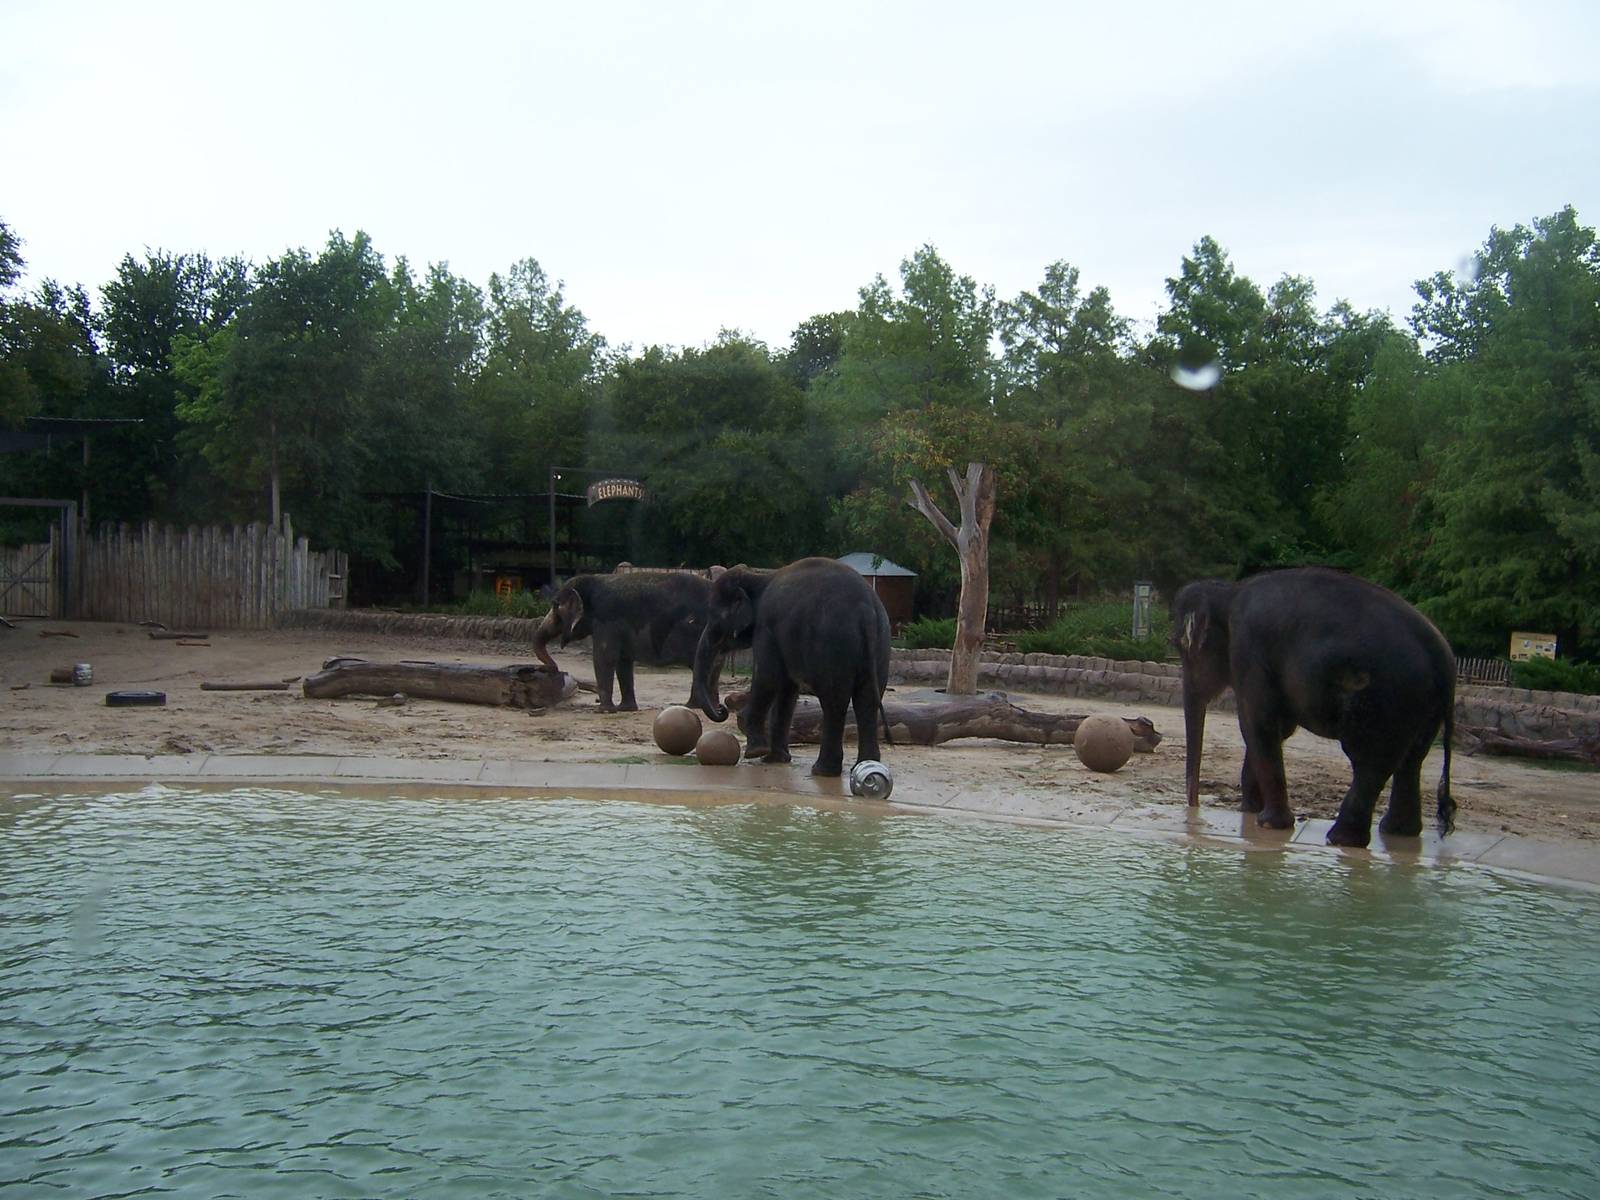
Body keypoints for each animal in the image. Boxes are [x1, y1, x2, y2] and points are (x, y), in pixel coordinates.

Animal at [532, 571, 711, 712]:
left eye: (555, 606)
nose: (549, 669)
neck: (594, 580)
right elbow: (623, 661)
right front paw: (625, 709)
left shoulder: (606, 620)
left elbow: (604, 657)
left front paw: (603, 711)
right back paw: (697, 706)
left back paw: (693, 707)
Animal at [689, 557, 891, 777]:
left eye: (714, 617)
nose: (722, 709)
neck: (759, 577)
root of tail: (866, 611)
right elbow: (787, 689)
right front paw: (774, 759)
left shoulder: (766, 627)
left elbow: (768, 677)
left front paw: (755, 752)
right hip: (879, 646)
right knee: (867, 701)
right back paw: (864, 766)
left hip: (833, 645)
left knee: (834, 702)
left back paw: (822, 771)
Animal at [1172, 567, 1456, 848]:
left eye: (1183, 648)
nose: (1193, 807)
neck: (1229, 593)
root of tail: (1442, 656)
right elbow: (1278, 728)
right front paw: (1250, 811)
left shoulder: (1249, 649)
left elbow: (1257, 723)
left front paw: (1267, 824)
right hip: (1422, 705)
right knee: (1411, 759)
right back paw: (1397, 831)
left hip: (1386, 697)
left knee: (1370, 761)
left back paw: (1341, 839)